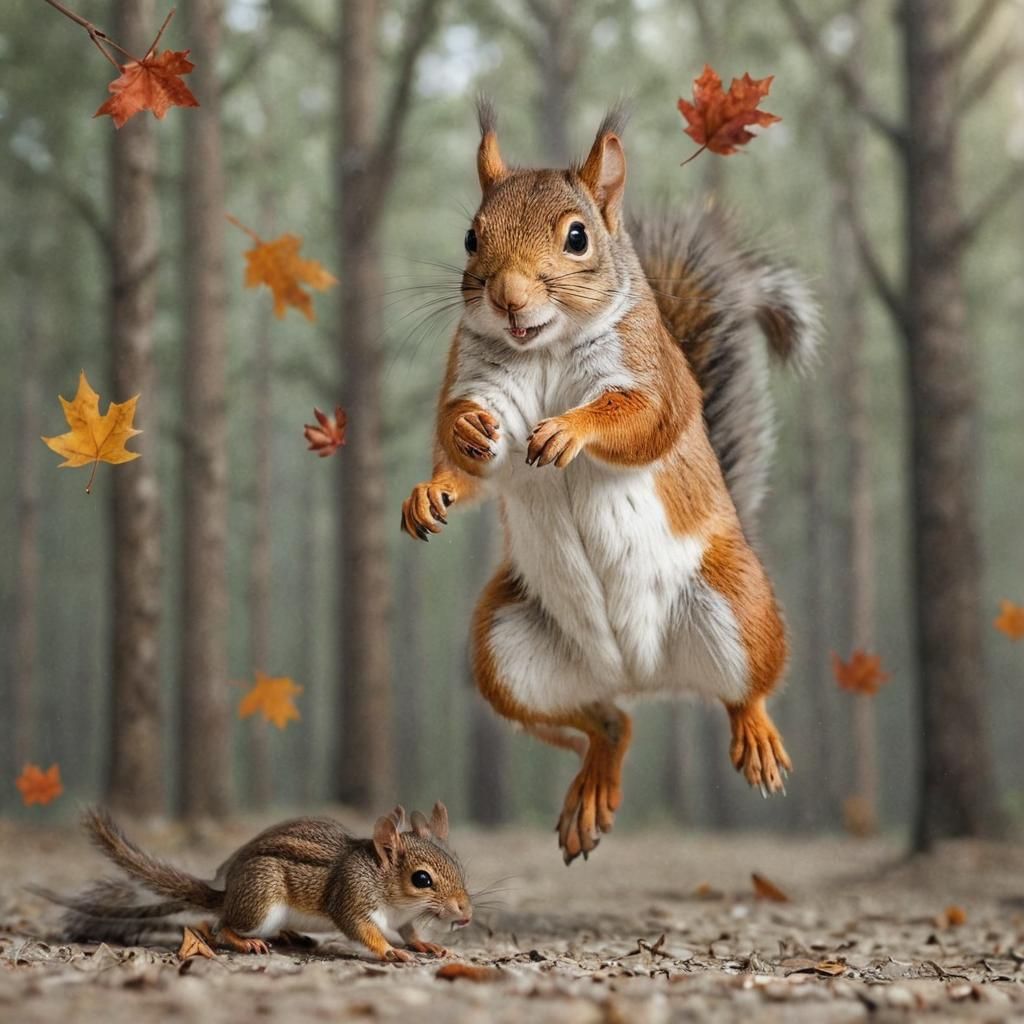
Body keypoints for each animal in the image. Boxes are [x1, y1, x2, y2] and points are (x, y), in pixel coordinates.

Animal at [35, 804, 471, 962]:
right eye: (421, 879)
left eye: (459, 866)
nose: (466, 914)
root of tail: (227, 895)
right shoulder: (352, 895)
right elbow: (363, 930)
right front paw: (391, 951)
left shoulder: (404, 918)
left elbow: (412, 932)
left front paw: (428, 944)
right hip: (260, 903)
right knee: (219, 927)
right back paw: (246, 942)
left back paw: (291, 936)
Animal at [400, 101, 820, 864]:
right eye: (471, 236)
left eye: (577, 237)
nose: (507, 297)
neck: (544, 349)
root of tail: (640, 675)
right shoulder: (479, 379)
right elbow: (470, 459)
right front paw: (435, 480)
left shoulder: (654, 373)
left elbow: (643, 418)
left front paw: (570, 431)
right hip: (502, 652)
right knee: (605, 724)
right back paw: (595, 784)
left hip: (740, 605)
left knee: (746, 689)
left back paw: (756, 735)